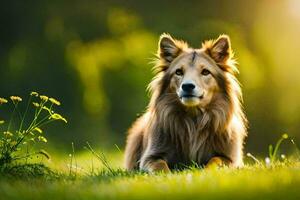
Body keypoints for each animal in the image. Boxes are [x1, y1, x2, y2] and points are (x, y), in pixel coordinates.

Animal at [123, 33, 247, 172]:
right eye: (178, 72)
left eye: (205, 72)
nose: (187, 86)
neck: (193, 118)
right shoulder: (151, 157)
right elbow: (160, 166)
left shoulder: (231, 159)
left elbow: (215, 160)